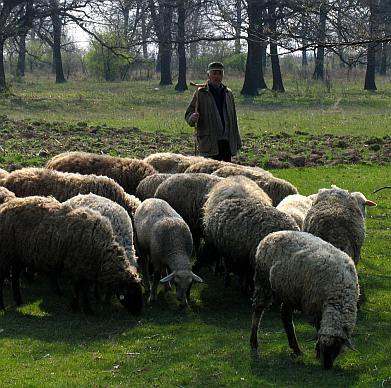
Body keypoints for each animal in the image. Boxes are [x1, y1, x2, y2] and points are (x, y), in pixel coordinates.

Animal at [0, 197, 143, 316]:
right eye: (131, 293)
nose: (138, 313)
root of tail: (4, 207)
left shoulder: (83, 269)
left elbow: (80, 289)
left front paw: (80, 307)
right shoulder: (76, 266)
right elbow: (79, 289)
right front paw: (84, 309)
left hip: (18, 256)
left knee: (15, 277)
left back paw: (19, 300)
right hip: (6, 254)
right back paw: (3, 307)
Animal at [251, 230, 358, 370]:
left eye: (336, 347)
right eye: (326, 347)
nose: (327, 366)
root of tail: (270, 235)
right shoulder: (315, 308)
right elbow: (318, 329)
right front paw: (317, 352)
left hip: (289, 292)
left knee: (285, 318)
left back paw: (296, 349)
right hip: (263, 282)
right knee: (258, 312)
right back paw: (254, 343)